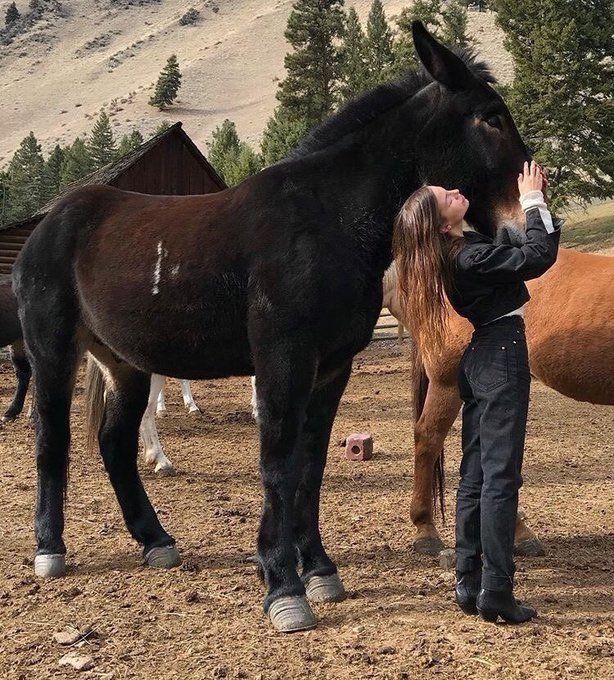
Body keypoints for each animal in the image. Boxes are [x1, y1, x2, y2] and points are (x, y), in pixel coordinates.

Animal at [13, 25, 536, 632]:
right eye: (491, 117)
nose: (520, 224)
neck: (326, 218)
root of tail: (51, 222)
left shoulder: (331, 368)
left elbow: (310, 466)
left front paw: (320, 570)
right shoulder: (284, 361)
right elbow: (279, 465)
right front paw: (283, 587)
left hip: (126, 364)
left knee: (115, 443)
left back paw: (156, 540)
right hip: (53, 352)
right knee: (52, 439)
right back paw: (49, 550)